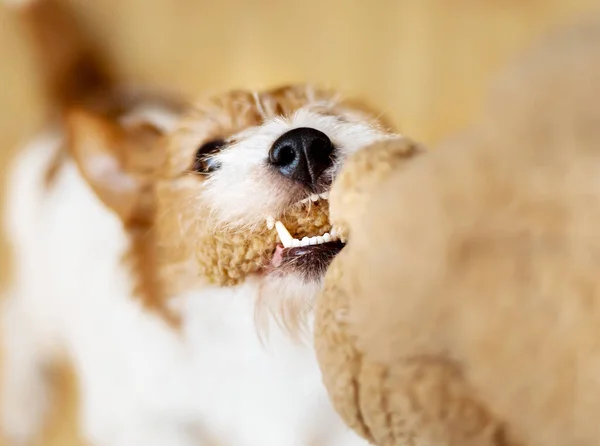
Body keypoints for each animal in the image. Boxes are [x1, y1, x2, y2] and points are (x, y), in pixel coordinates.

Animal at [2, 0, 406, 446]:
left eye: (331, 115)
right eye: (206, 154)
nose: (304, 145)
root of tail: (97, 95)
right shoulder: (135, 420)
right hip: (41, 290)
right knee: (18, 314)